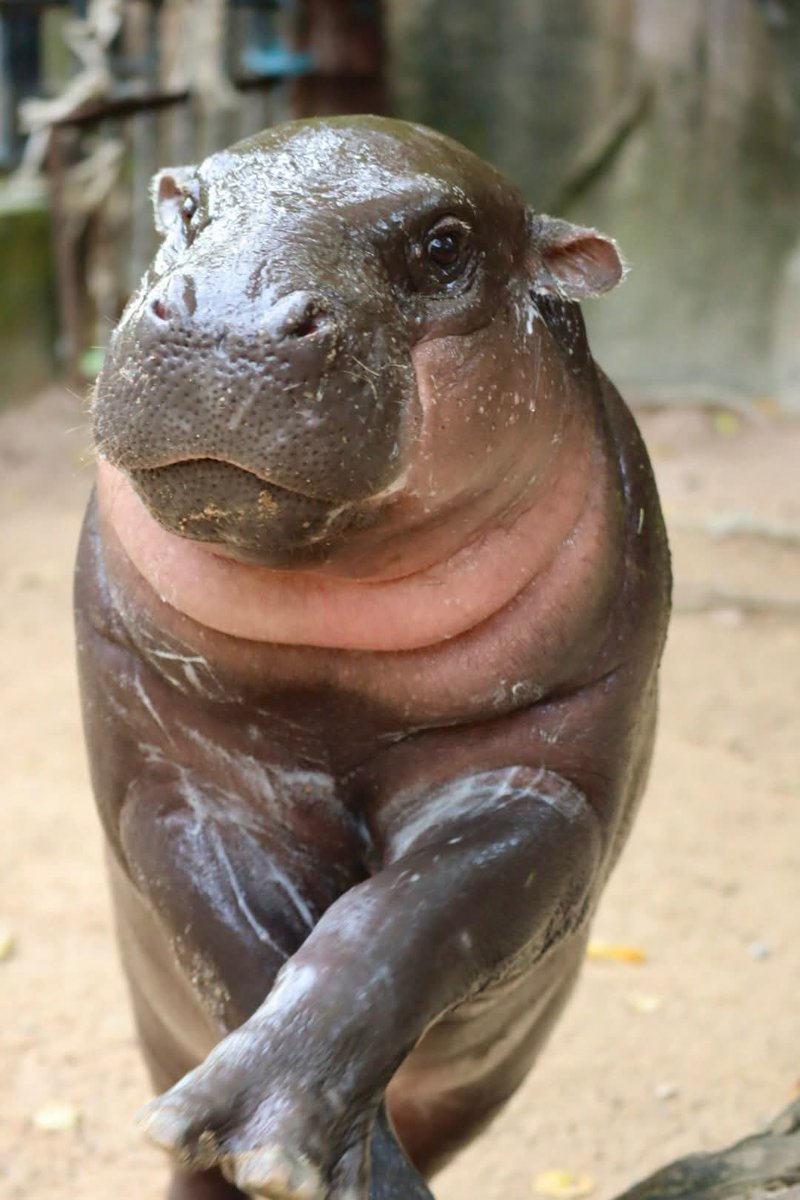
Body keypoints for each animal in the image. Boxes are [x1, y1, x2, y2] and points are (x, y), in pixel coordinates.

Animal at [74, 115, 671, 1200]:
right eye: (188, 205)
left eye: (444, 245)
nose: (227, 322)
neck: (333, 667)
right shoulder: (176, 785)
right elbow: (239, 950)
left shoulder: (545, 782)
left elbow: (404, 920)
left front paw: (291, 1152)